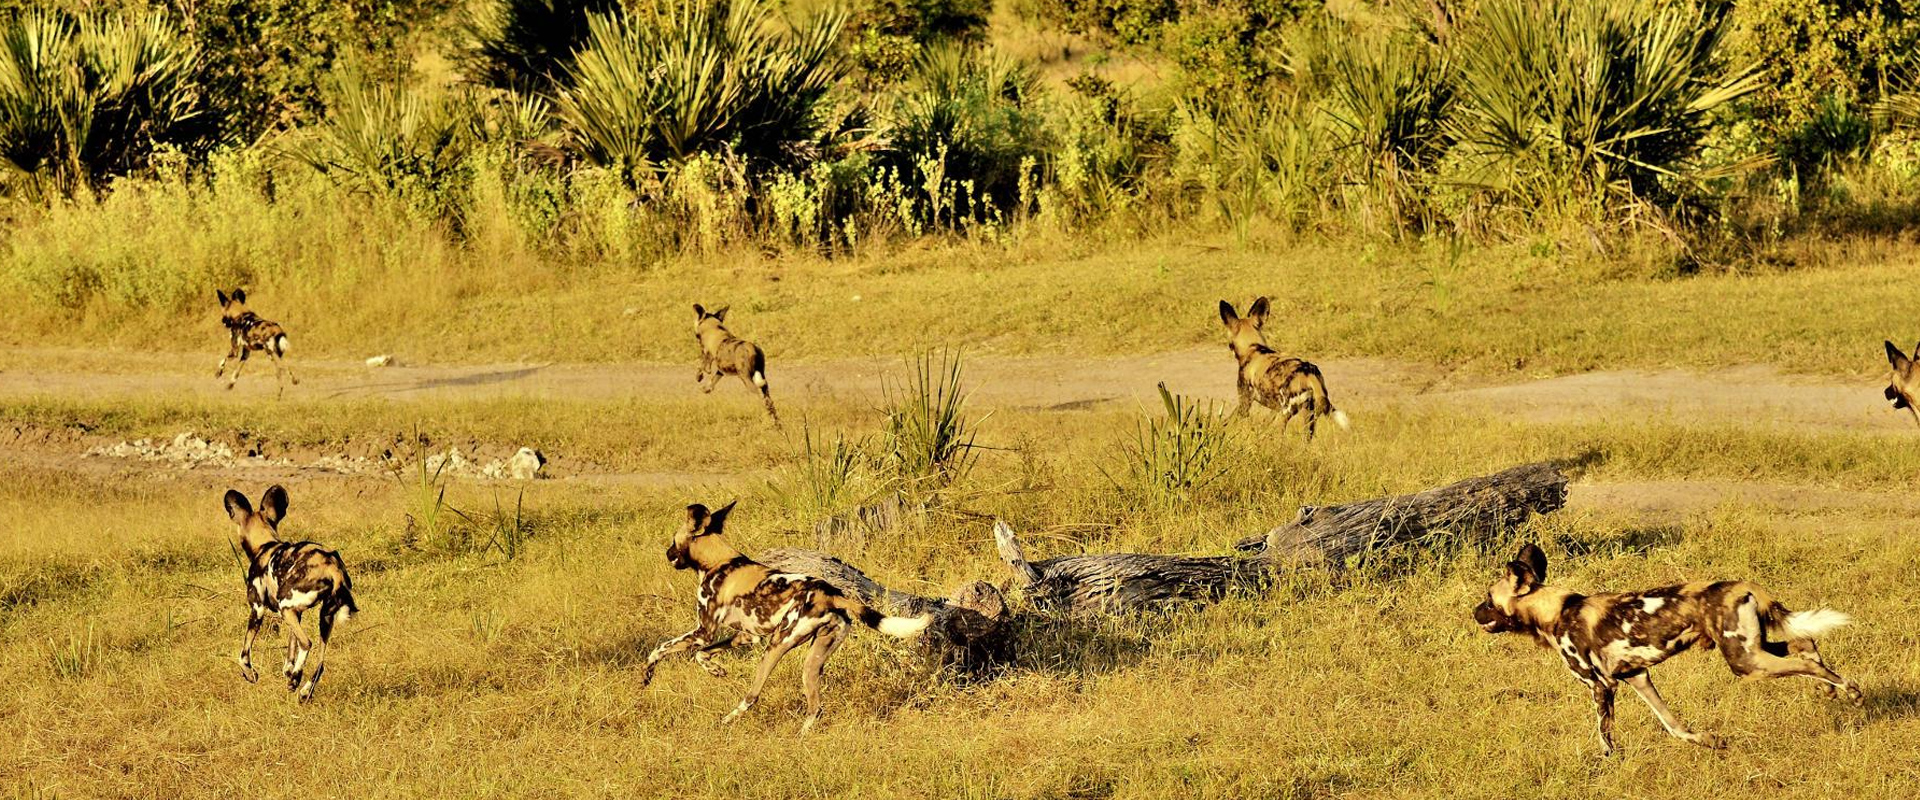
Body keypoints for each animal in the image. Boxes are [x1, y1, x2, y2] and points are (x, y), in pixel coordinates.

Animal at [225, 483, 360, 702]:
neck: (266, 545)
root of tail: (332, 567)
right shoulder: (296, 613)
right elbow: (291, 648)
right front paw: (289, 670)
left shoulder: (258, 609)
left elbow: (243, 654)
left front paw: (250, 674)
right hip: (323, 616)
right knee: (320, 661)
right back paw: (303, 690)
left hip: (284, 606)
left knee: (307, 643)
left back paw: (296, 679)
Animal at [641, 502, 933, 732]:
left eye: (673, 541)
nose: (667, 553)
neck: (717, 561)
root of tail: (830, 593)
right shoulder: (746, 637)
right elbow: (702, 655)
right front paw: (716, 670)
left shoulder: (704, 632)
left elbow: (660, 649)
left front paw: (647, 675)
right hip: (812, 661)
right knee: (816, 707)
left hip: (776, 645)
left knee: (753, 695)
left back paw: (726, 721)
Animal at [1213, 297, 1351, 439]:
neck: (1253, 347)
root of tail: (1309, 375)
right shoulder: (1274, 409)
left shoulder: (1244, 404)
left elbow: (1226, 422)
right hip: (1309, 416)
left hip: (1285, 414)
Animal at [1466, 541, 1858, 755]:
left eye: (1488, 599)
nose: (1472, 613)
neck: (1556, 611)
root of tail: (1744, 584)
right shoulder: (1637, 676)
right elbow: (1672, 725)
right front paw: (1707, 740)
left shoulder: (1600, 686)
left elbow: (1605, 735)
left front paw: (1608, 763)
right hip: (1751, 649)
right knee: (1803, 641)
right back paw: (1829, 687)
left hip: (1745, 662)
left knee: (1809, 663)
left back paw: (1848, 689)